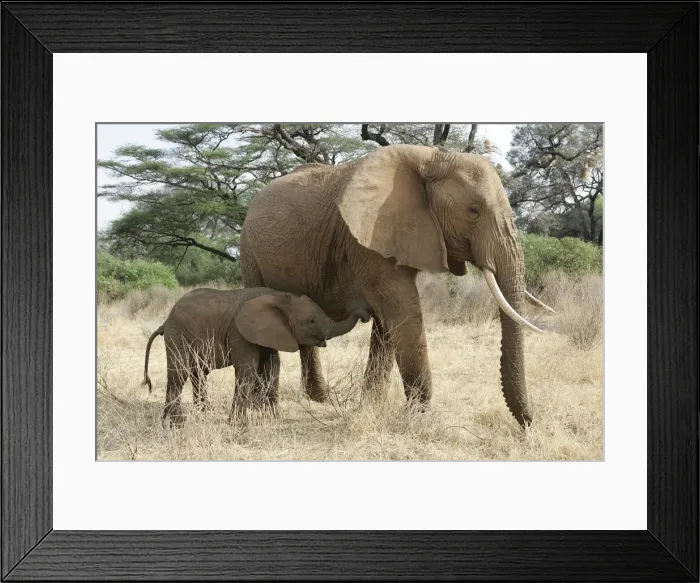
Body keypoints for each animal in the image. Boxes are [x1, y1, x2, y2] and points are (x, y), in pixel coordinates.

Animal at [142, 287, 372, 427]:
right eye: (311, 321)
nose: (366, 313)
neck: (279, 297)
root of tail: (165, 321)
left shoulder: (270, 333)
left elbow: (273, 368)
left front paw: (275, 419)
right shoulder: (241, 333)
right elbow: (247, 369)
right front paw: (237, 424)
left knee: (197, 374)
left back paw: (200, 414)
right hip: (177, 335)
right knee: (179, 374)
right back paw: (175, 424)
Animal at [239, 144, 554, 427]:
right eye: (473, 211)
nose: (529, 425)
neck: (433, 157)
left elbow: (388, 321)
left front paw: (371, 406)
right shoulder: (368, 243)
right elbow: (401, 310)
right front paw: (419, 415)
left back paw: (318, 399)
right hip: (249, 252)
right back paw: (265, 405)